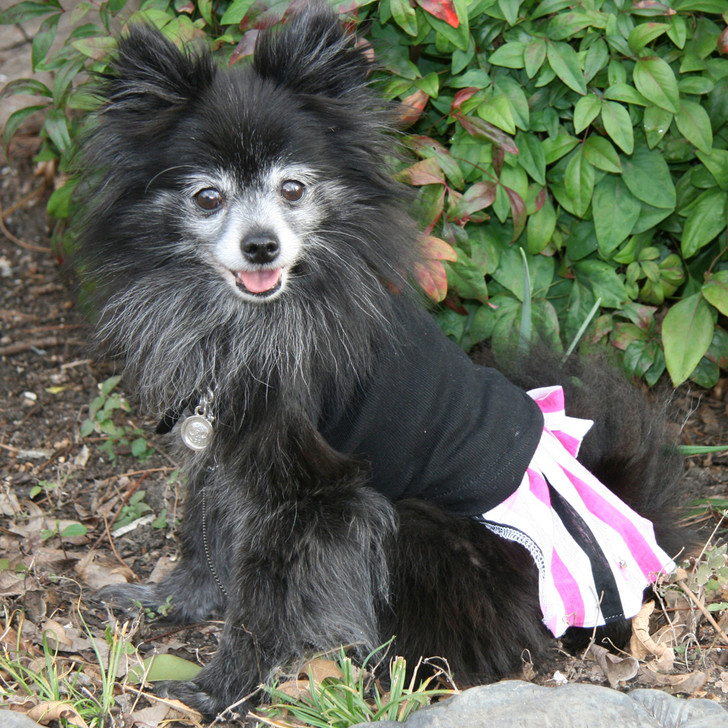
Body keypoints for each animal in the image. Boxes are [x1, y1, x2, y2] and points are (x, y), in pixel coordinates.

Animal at [79, 5, 688, 720]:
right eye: (207, 198)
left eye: (292, 189)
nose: (261, 246)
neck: (252, 318)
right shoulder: (224, 445)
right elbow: (201, 528)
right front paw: (175, 601)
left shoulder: (311, 494)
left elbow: (261, 599)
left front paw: (221, 689)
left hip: (412, 525)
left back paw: (378, 672)